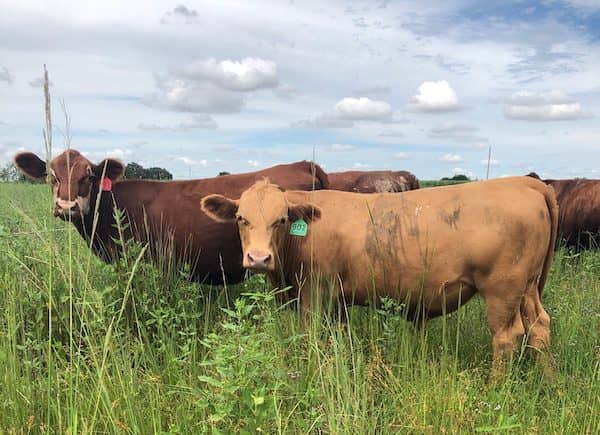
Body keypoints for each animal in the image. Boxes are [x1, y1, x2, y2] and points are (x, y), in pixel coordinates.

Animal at [202, 177, 556, 374]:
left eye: (282, 219)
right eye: (241, 218)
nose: (259, 258)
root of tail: (522, 181)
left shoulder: (315, 292)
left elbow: (309, 336)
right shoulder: (338, 300)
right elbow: (337, 337)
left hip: (502, 289)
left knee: (507, 336)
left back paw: (496, 387)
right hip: (527, 287)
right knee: (539, 326)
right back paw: (547, 381)